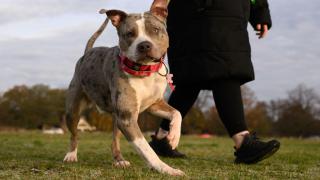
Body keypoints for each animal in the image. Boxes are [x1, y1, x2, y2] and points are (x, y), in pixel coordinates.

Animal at [62, 0, 184, 175]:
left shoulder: (154, 104)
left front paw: (173, 137)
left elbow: (176, 112)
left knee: (114, 139)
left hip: (116, 118)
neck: (144, 71)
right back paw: (71, 155)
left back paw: (119, 160)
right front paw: (166, 168)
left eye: (155, 30)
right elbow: (147, 149)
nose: (144, 45)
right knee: (74, 133)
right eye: (129, 33)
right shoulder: (127, 119)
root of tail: (87, 52)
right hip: (72, 110)